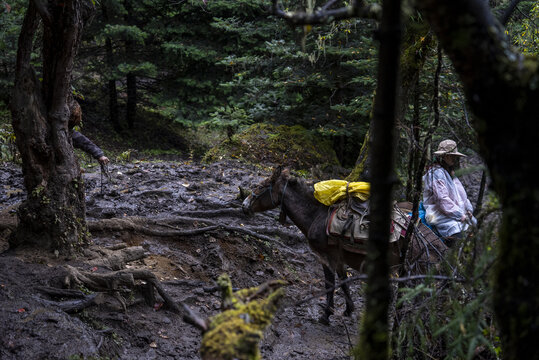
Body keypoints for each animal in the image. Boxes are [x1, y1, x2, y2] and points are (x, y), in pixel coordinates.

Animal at [242, 167, 448, 324]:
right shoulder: (339, 258)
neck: (317, 215)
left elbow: (330, 284)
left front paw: (326, 314)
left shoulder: (326, 256)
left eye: (260, 186)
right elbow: (343, 281)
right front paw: (349, 309)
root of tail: (437, 245)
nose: (244, 205)